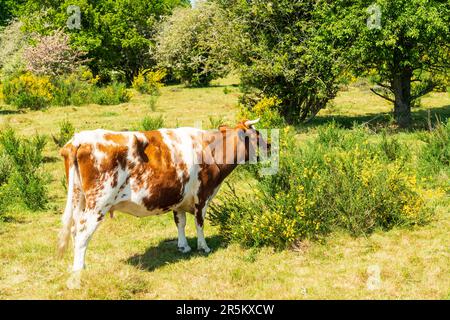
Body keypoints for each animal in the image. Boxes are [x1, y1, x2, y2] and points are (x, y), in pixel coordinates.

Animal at [57, 117, 266, 276]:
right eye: (258, 136)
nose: (270, 146)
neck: (211, 149)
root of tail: (79, 139)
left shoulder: (179, 198)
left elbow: (180, 222)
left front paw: (183, 247)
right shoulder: (202, 195)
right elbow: (199, 223)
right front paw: (203, 247)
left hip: (79, 200)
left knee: (74, 229)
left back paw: (80, 264)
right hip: (98, 204)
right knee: (83, 232)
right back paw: (79, 270)